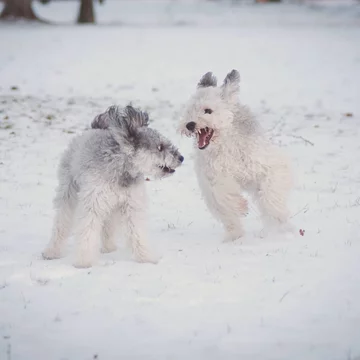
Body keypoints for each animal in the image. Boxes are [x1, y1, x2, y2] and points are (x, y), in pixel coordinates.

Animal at [43, 104, 183, 268]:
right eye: (160, 147)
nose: (181, 158)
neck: (122, 168)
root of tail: (95, 128)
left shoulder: (131, 205)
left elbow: (137, 233)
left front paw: (145, 258)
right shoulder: (93, 204)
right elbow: (87, 232)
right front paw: (84, 261)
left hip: (112, 206)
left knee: (108, 226)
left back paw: (109, 248)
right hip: (69, 192)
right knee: (61, 222)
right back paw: (52, 251)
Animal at [179, 69, 294, 240]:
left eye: (208, 110)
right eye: (189, 111)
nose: (189, 124)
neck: (226, 143)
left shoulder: (271, 165)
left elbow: (271, 193)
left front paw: (277, 216)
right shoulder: (213, 178)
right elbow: (223, 194)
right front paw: (241, 206)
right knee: (230, 218)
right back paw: (235, 236)